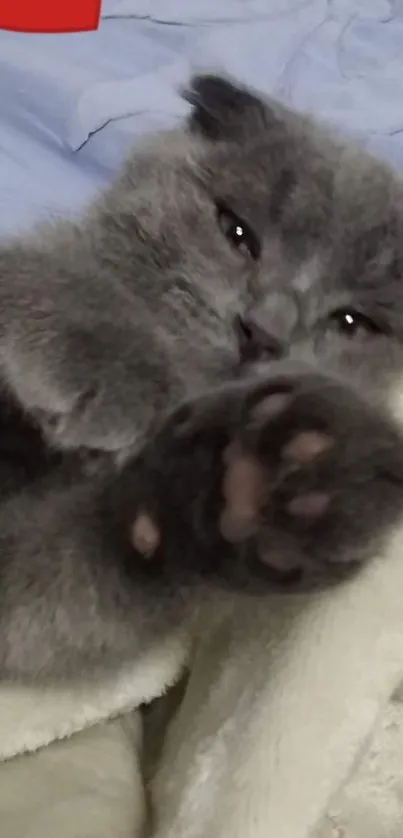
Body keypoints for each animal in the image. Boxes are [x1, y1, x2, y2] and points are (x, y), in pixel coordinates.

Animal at [0, 75, 403, 684]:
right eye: (238, 234)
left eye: (353, 323)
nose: (261, 331)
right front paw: (113, 364)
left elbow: (71, 587)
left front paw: (263, 479)